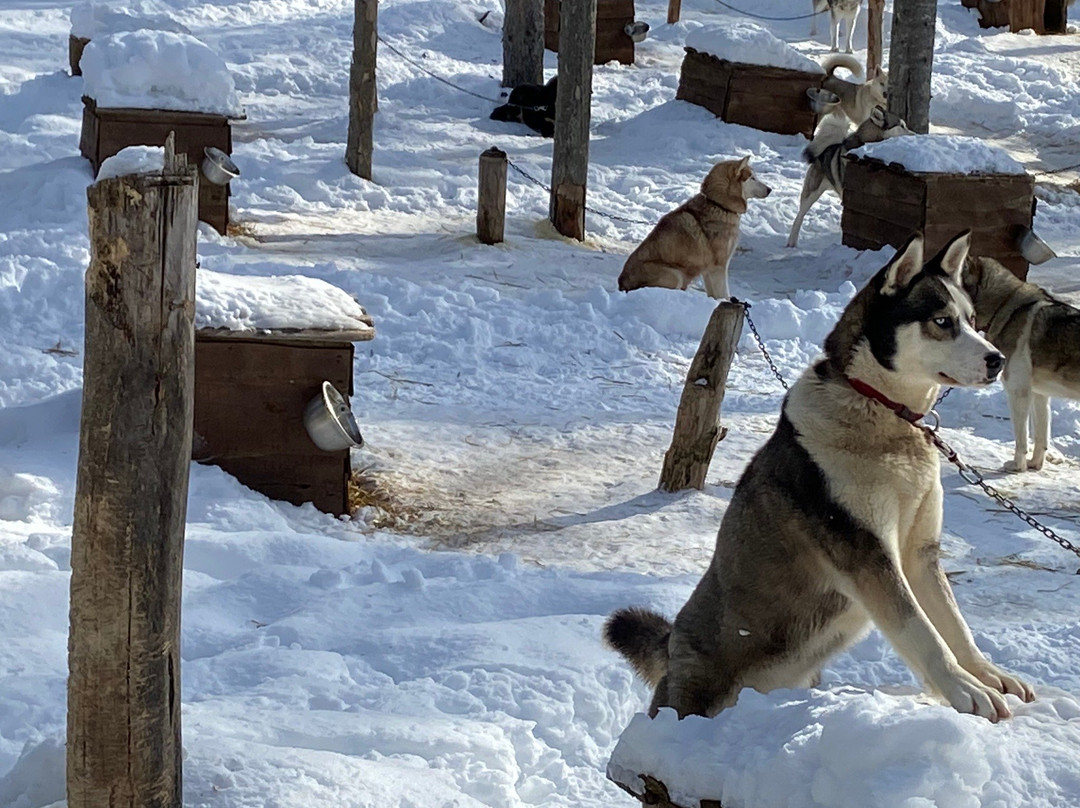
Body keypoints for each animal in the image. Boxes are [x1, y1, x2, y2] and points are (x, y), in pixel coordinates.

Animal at [606, 231, 1034, 722]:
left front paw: (987, 675)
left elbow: (954, 626)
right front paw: (966, 690)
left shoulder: (920, 555)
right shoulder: (871, 556)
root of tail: (672, 641)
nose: (997, 359)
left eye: (973, 320)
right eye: (942, 322)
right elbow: (924, 633)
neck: (883, 416)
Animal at [617, 157, 771, 299]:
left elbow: (714, 295)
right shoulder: (719, 267)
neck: (719, 205)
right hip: (675, 274)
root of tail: (621, 284)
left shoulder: (709, 270)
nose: (770, 189)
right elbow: (724, 295)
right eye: (752, 178)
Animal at [786, 104, 912, 248]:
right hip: (812, 192)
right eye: (901, 126)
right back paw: (791, 242)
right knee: (799, 216)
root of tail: (825, 150)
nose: (916, 134)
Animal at [962, 256, 1080, 472]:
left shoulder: (1018, 392)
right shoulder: (1039, 394)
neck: (1005, 305)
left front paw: (1017, 466)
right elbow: (1041, 437)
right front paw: (1034, 464)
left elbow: (1021, 439)